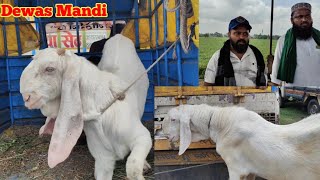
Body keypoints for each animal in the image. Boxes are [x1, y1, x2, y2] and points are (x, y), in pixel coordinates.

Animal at [20, 34, 152, 179]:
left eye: (50, 69)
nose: (26, 98)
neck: (98, 114)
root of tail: (119, 36)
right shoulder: (103, 158)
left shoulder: (141, 137)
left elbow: (133, 168)